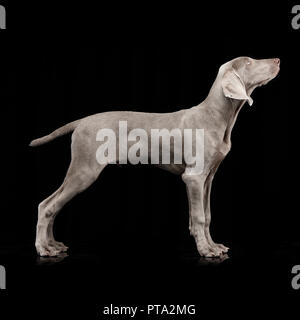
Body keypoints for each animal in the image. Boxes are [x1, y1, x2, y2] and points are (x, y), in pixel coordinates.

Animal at [29, 57, 278, 258]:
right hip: (84, 170)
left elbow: (206, 215)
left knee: (50, 204)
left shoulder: (208, 178)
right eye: (249, 62)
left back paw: (53, 245)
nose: (277, 60)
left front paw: (213, 245)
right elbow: (198, 217)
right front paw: (206, 250)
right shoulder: (193, 178)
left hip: (81, 171)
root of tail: (81, 121)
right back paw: (43, 249)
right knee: (47, 206)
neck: (217, 116)